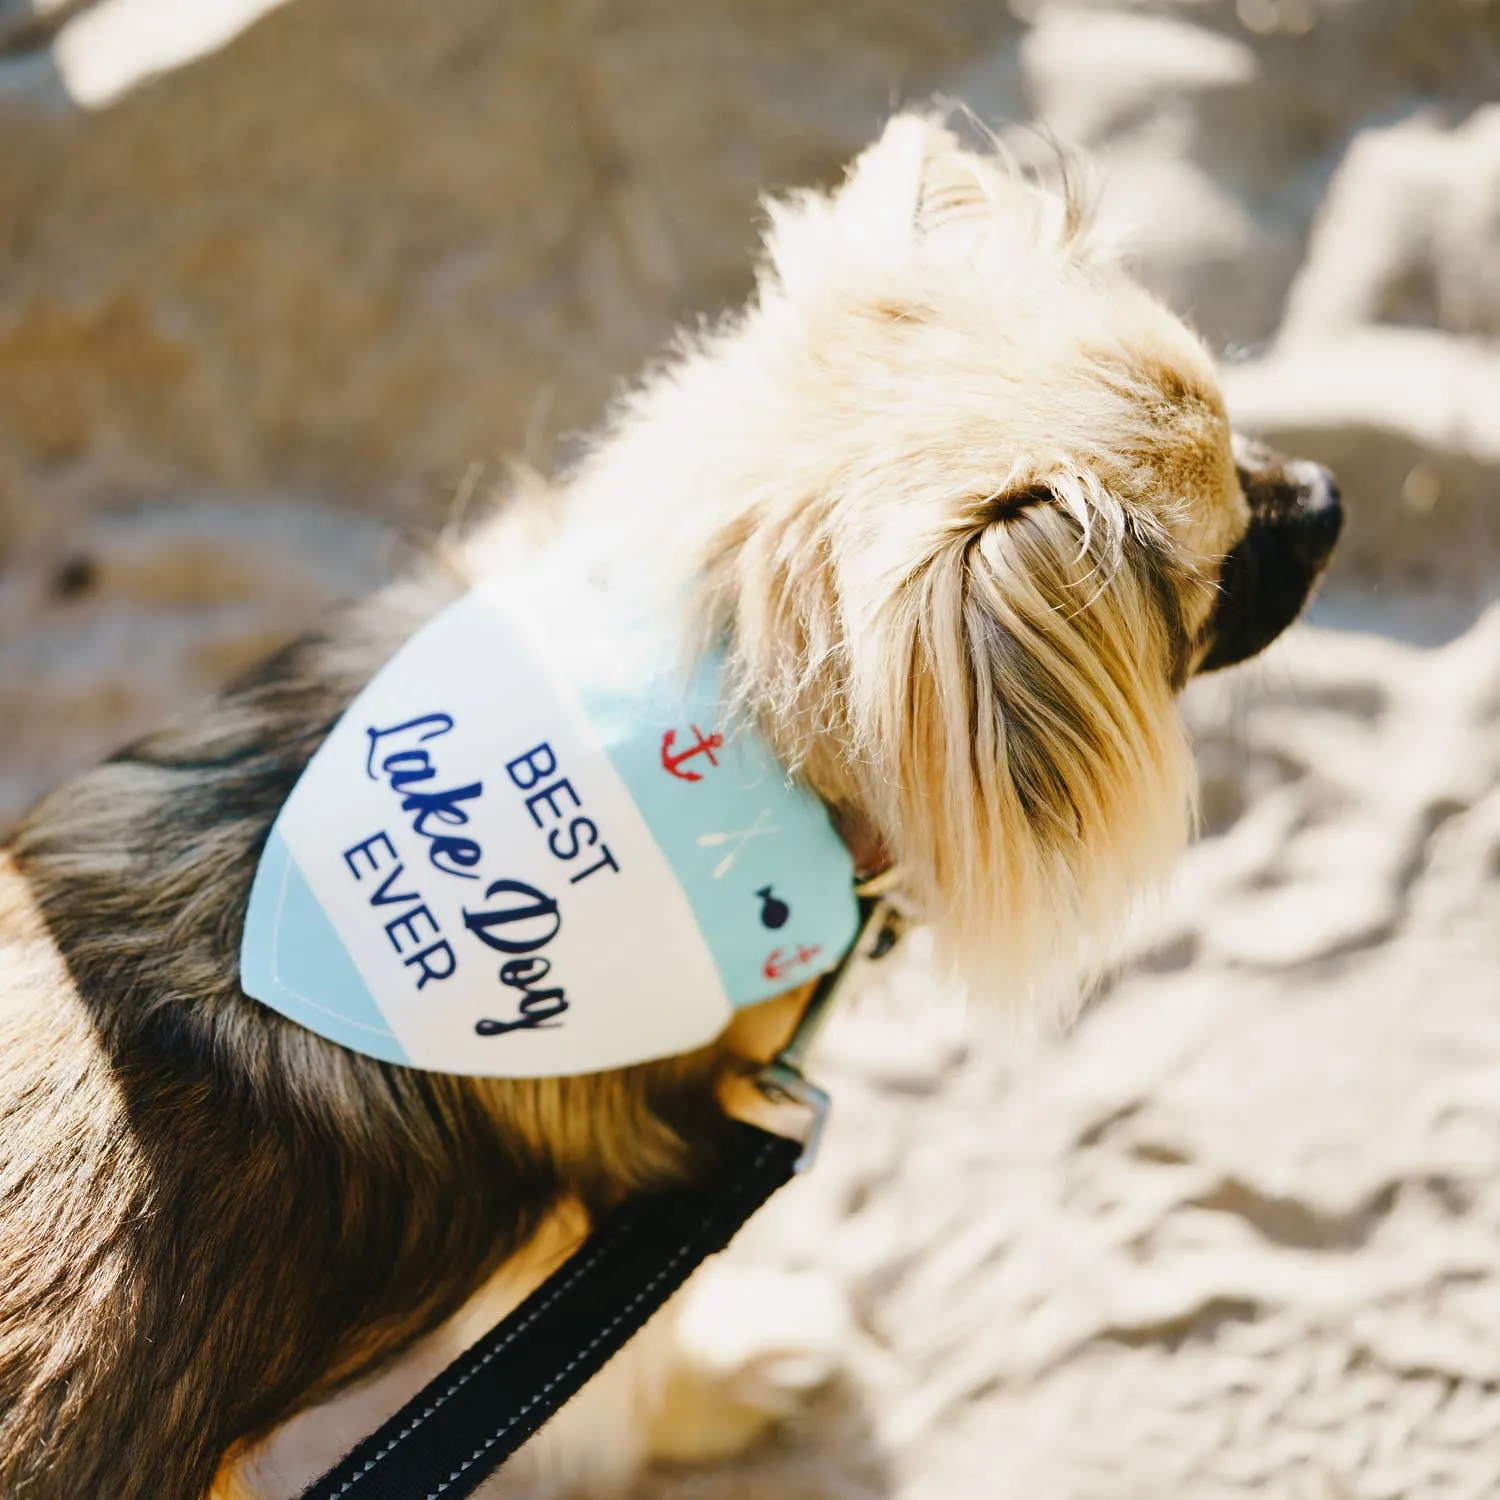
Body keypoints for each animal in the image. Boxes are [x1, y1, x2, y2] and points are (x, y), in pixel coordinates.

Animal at [0, 117, 1338, 1500]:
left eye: (1242, 439)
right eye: (1226, 562)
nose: (1327, 496)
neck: (708, 699)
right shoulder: (644, 1192)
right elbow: (644, 1367)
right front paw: (739, 1385)